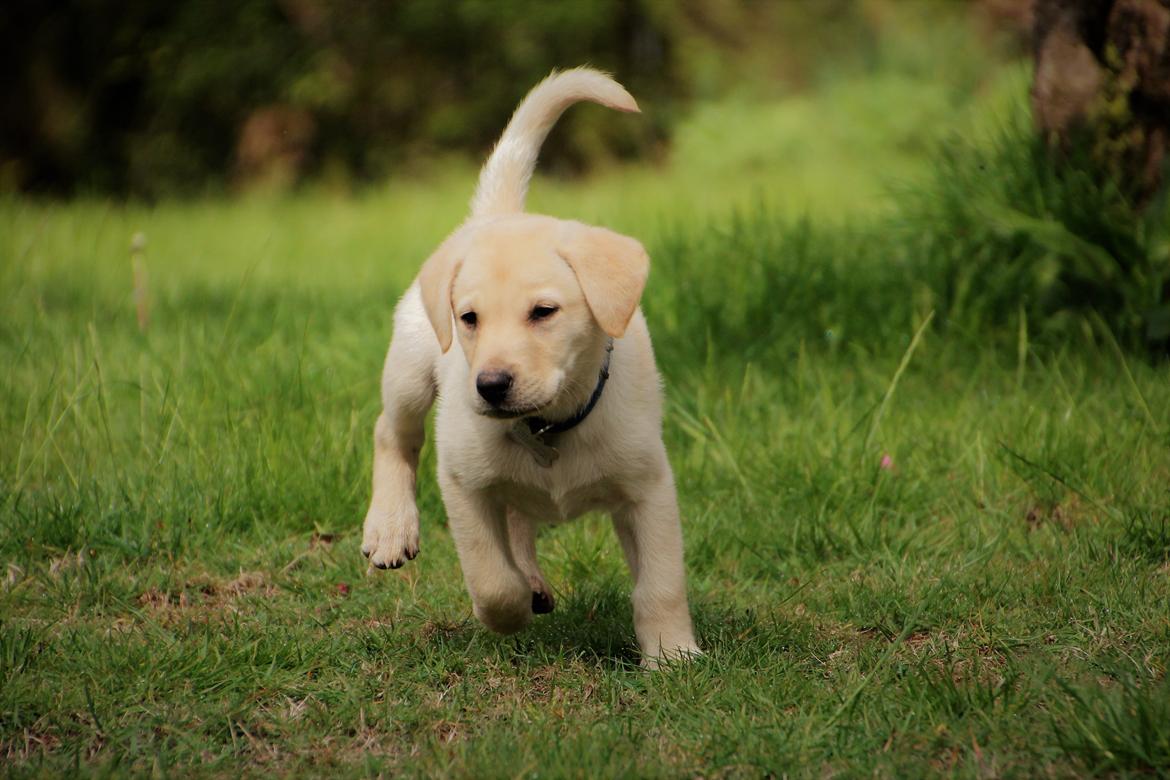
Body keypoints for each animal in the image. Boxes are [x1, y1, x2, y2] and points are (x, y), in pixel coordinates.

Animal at [360, 67, 697, 668]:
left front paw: (673, 655)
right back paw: (391, 528)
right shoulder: (462, 483)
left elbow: (661, 582)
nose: (491, 386)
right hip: (409, 370)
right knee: (393, 433)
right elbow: (490, 578)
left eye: (544, 312)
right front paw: (508, 611)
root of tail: (497, 216)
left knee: (517, 511)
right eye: (468, 318)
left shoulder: (649, 487)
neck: (550, 426)